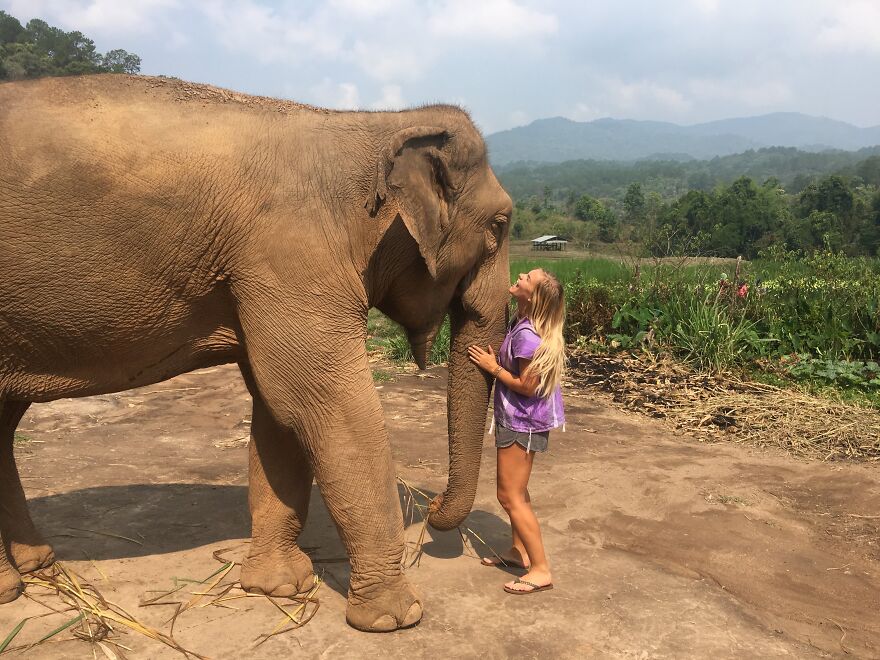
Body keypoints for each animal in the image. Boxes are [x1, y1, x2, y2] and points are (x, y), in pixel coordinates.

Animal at [0, 75, 511, 631]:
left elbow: (276, 413)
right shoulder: (289, 253)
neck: (372, 125)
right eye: (502, 224)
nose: (434, 504)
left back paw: (34, 564)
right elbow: (320, 402)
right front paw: (394, 618)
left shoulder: (264, 271)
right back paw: (10, 587)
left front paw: (280, 587)